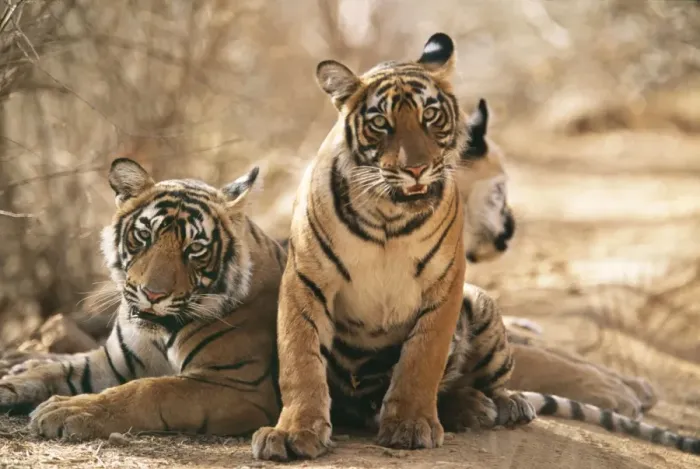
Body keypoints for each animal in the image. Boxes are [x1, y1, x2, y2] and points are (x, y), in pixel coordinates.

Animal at [0, 158, 285, 439]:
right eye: (145, 236)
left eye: (194, 248)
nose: (153, 294)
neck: (160, 335)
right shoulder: (111, 363)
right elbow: (54, 371)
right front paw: (12, 383)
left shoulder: (239, 383)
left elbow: (149, 390)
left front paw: (70, 410)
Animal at [251, 32, 537, 462]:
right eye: (380, 123)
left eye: (430, 116)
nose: (415, 169)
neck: (388, 216)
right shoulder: (305, 279)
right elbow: (300, 359)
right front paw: (293, 431)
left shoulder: (446, 284)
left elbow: (422, 358)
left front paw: (410, 424)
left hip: (483, 305)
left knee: (488, 381)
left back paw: (500, 404)